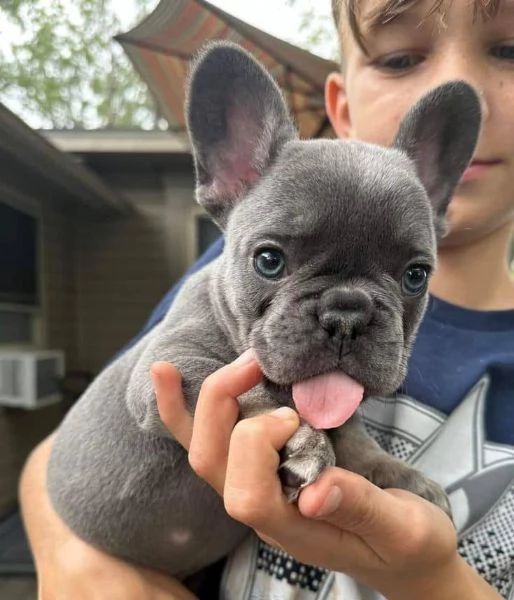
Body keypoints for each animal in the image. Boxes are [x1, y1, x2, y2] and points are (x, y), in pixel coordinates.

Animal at [48, 41, 480, 576]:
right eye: (269, 261)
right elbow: (248, 394)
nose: (348, 310)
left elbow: (357, 440)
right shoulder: (174, 360)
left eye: (416, 276)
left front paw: (398, 473)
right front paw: (302, 441)